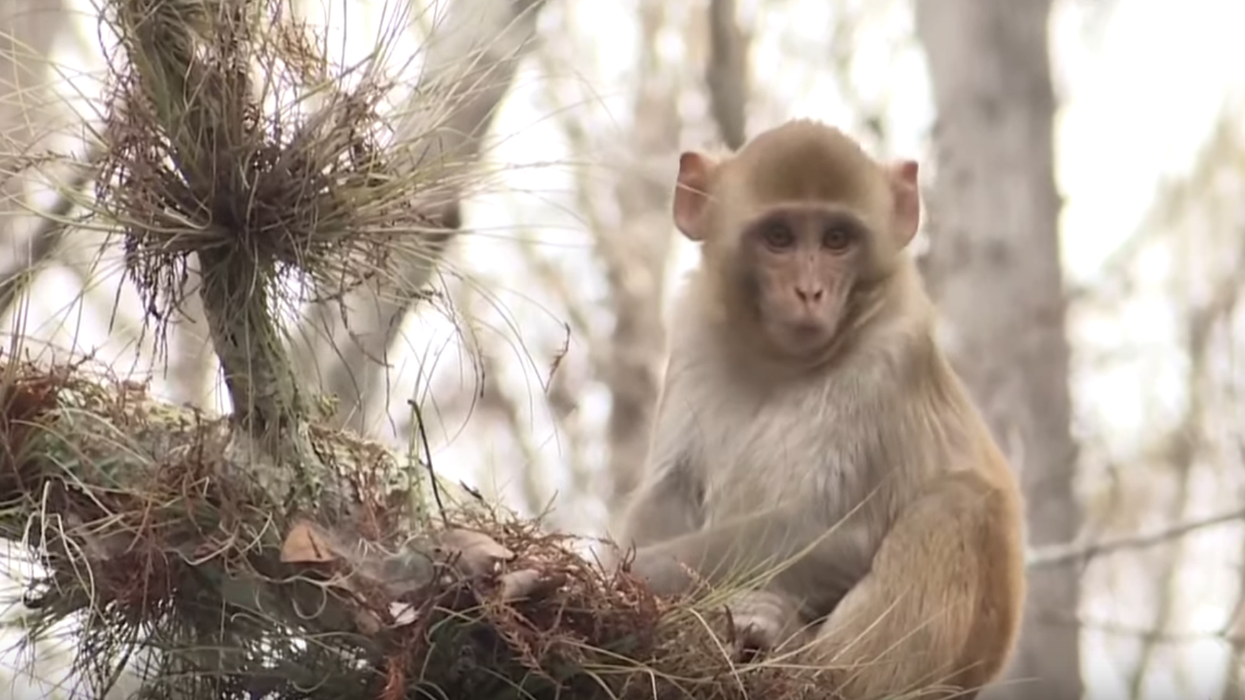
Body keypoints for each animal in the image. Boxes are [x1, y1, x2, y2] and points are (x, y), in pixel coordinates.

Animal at [611, 119, 1027, 700]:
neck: (777, 361)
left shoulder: (890, 356)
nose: (809, 292)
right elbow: (670, 491)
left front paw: (631, 571)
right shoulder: (695, 332)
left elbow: (839, 533)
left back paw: (806, 661)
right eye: (779, 237)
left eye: (836, 240)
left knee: (958, 505)